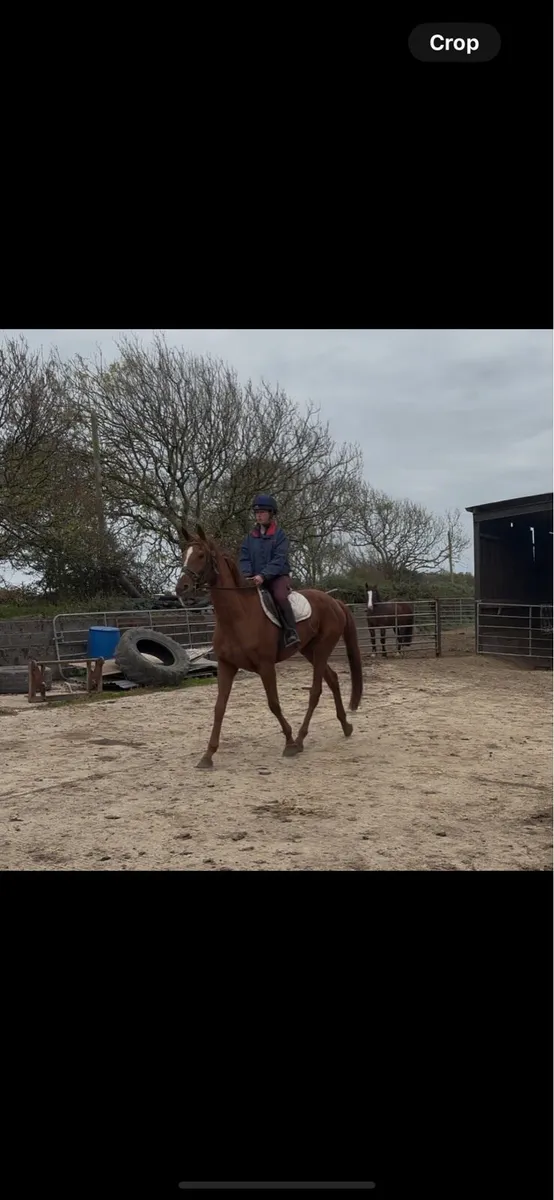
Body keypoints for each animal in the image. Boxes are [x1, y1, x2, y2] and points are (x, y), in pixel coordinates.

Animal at [175, 524, 363, 768]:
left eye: (201, 555)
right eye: (184, 554)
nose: (182, 588)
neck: (237, 617)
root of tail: (334, 601)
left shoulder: (266, 666)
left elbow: (273, 703)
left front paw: (289, 743)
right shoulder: (226, 666)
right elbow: (219, 707)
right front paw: (208, 755)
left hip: (322, 649)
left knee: (316, 691)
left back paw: (300, 739)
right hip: (309, 650)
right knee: (332, 679)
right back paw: (345, 726)